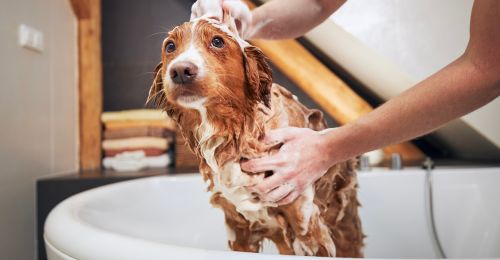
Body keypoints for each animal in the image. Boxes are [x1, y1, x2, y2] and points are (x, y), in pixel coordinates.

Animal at [147, 10, 364, 258]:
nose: (181, 70)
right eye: (170, 46)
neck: (235, 133)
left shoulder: (306, 225)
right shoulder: (238, 228)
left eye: (217, 41)